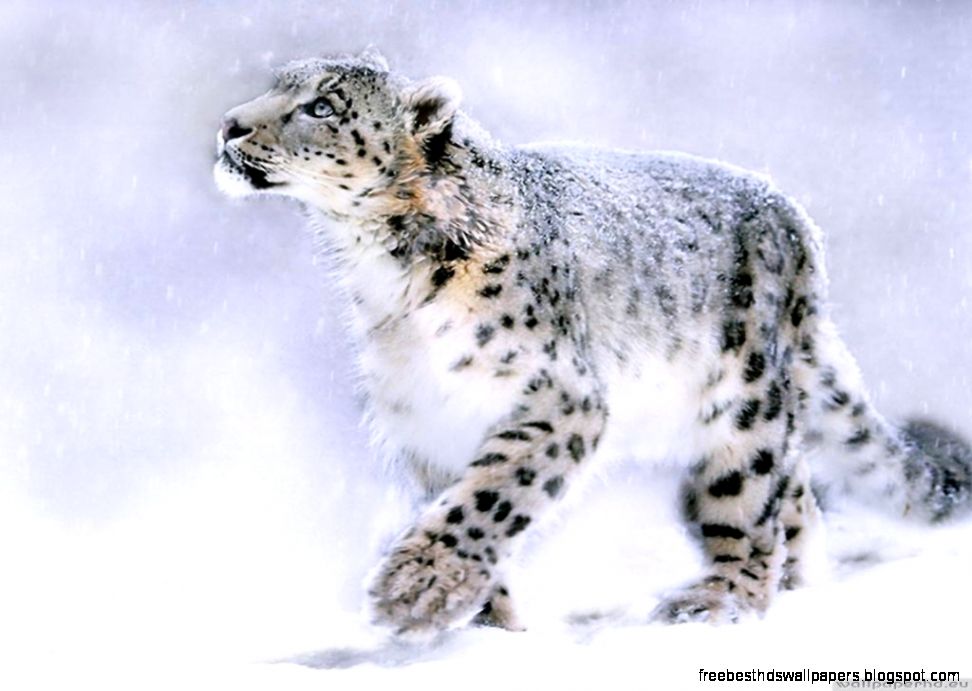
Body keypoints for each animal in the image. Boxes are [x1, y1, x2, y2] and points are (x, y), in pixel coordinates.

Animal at [214, 49, 972, 637]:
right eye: (279, 85)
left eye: (321, 105)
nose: (229, 125)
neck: (384, 274)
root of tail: (794, 220)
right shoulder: (425, 415)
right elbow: (458, 497)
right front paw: (487, 621)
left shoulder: (558, 394)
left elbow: (490, 496)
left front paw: (416, 589)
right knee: (798, 495)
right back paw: (799, 581)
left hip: (744, 399)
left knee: (750, 499)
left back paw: (721, 597)